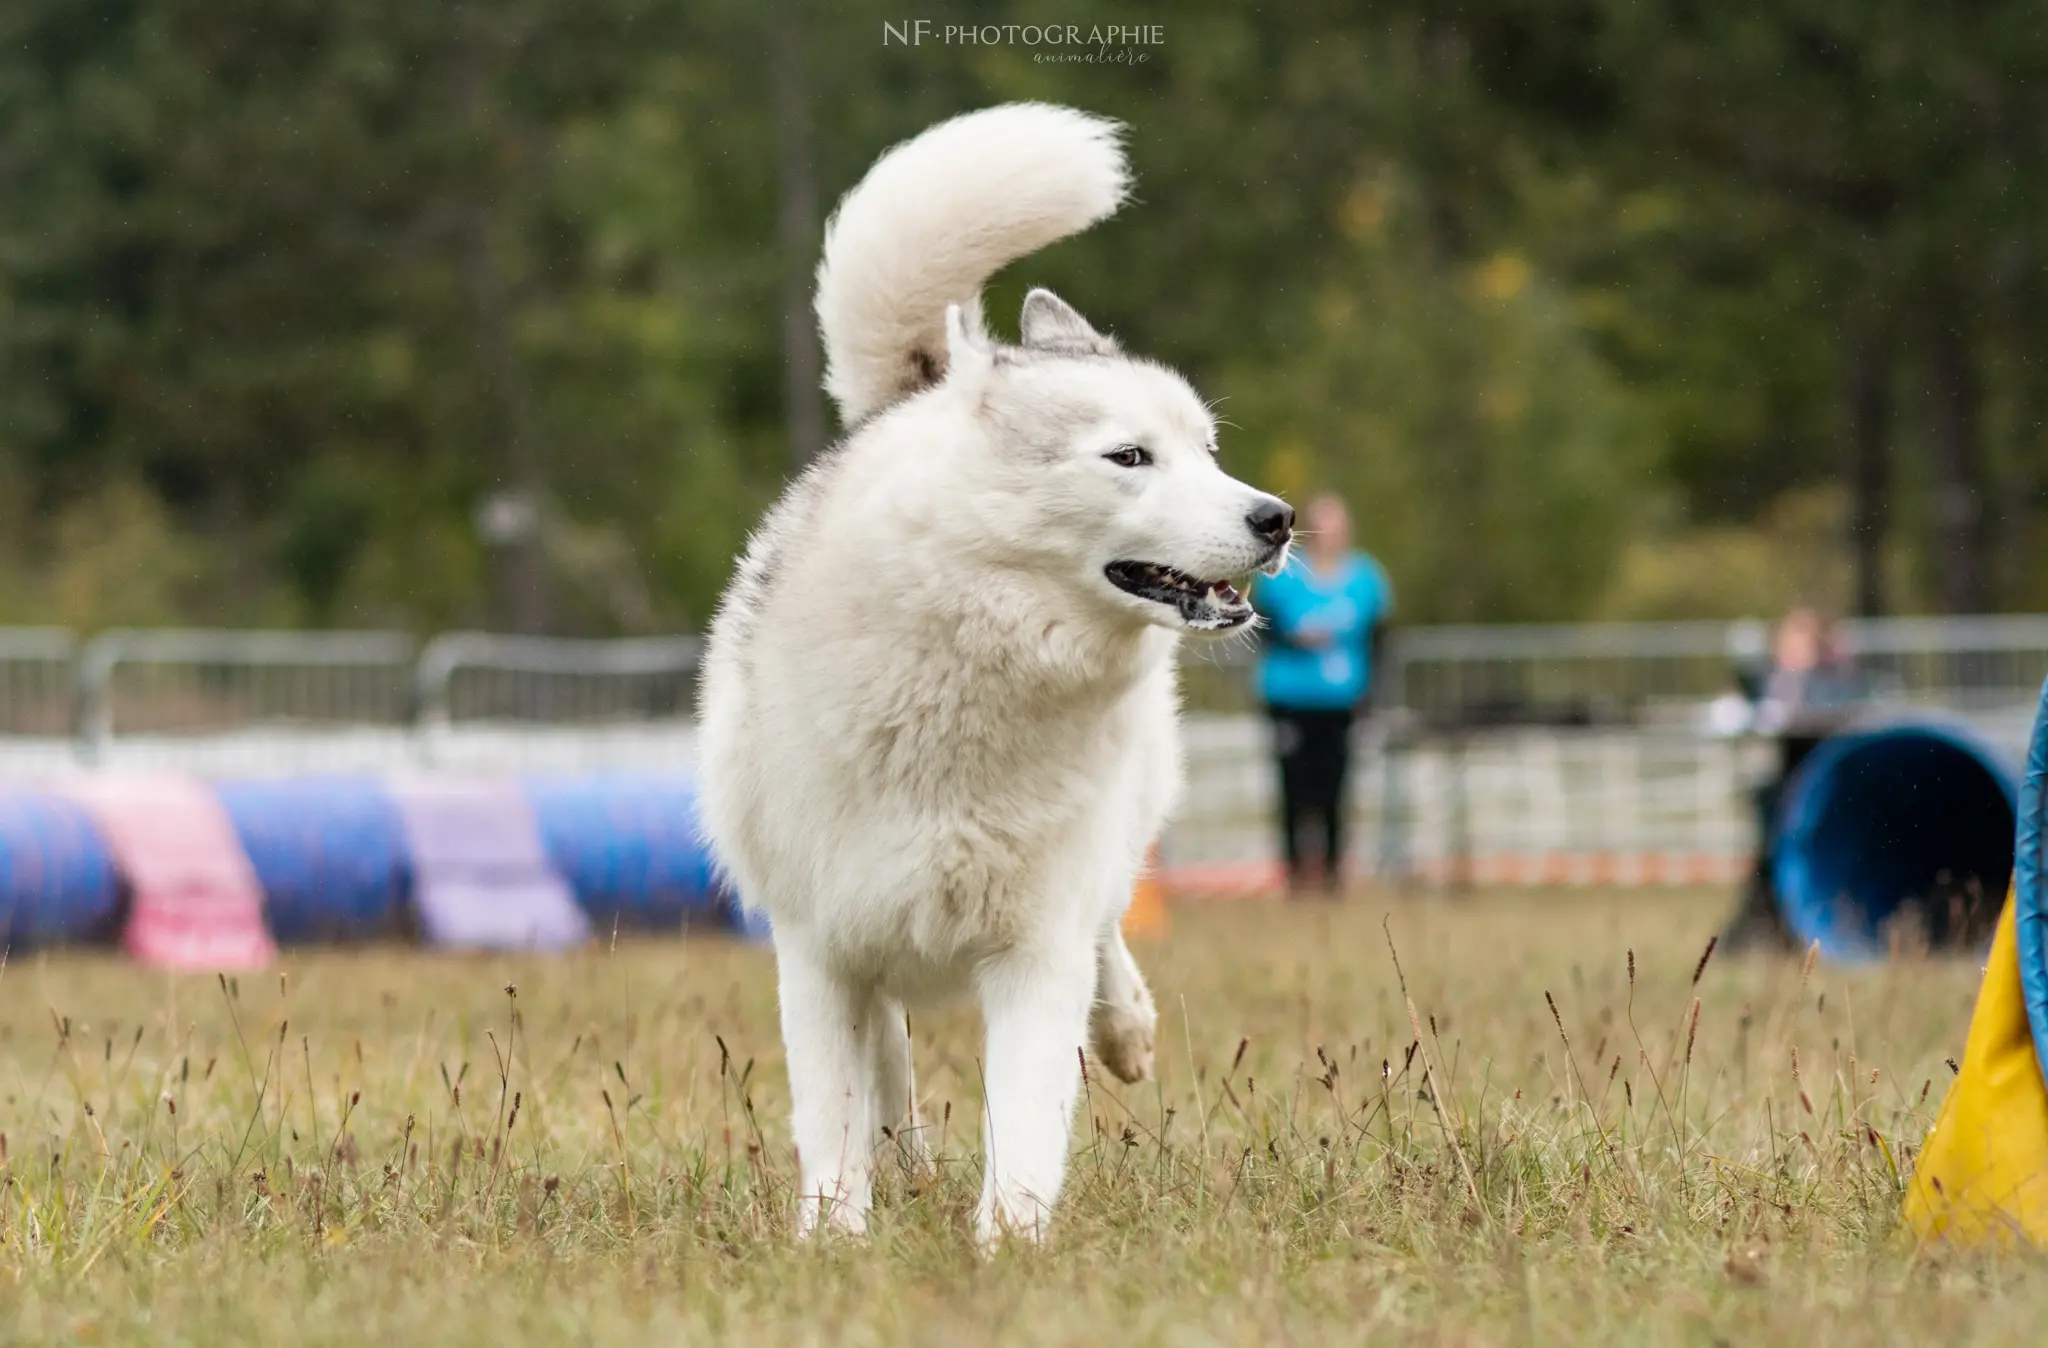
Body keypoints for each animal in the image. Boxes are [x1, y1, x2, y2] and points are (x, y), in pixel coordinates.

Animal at [696, 99, 1286, 1245]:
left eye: (1207, 449)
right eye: (1129, 457)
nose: (1275, 518)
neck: (967, 669)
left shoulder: (1033, 945)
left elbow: (1024, 1114)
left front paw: (1007, 1248)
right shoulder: (821, 944)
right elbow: (833, 1115)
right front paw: (833, 1243)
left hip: (1109, 850)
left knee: (1109, 936)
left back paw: (1124, 1029)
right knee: (888, 1061)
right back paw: (906, 1161)